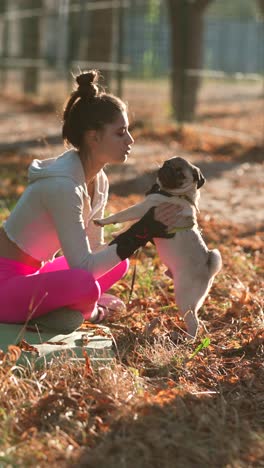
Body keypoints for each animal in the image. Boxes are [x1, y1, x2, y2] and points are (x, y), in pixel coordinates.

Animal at [94, 156, 222, 336]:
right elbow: (131, 224)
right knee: (199, 322)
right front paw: (117, 234)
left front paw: (104, 221)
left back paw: (187, 338)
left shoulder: (144, 208)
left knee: (194, 322)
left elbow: (122, 215)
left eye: (179, 173)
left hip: (185, 298)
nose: (165, 168)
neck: (180, 195)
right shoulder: (146, 211)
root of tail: (209, 270)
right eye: (167, 163)